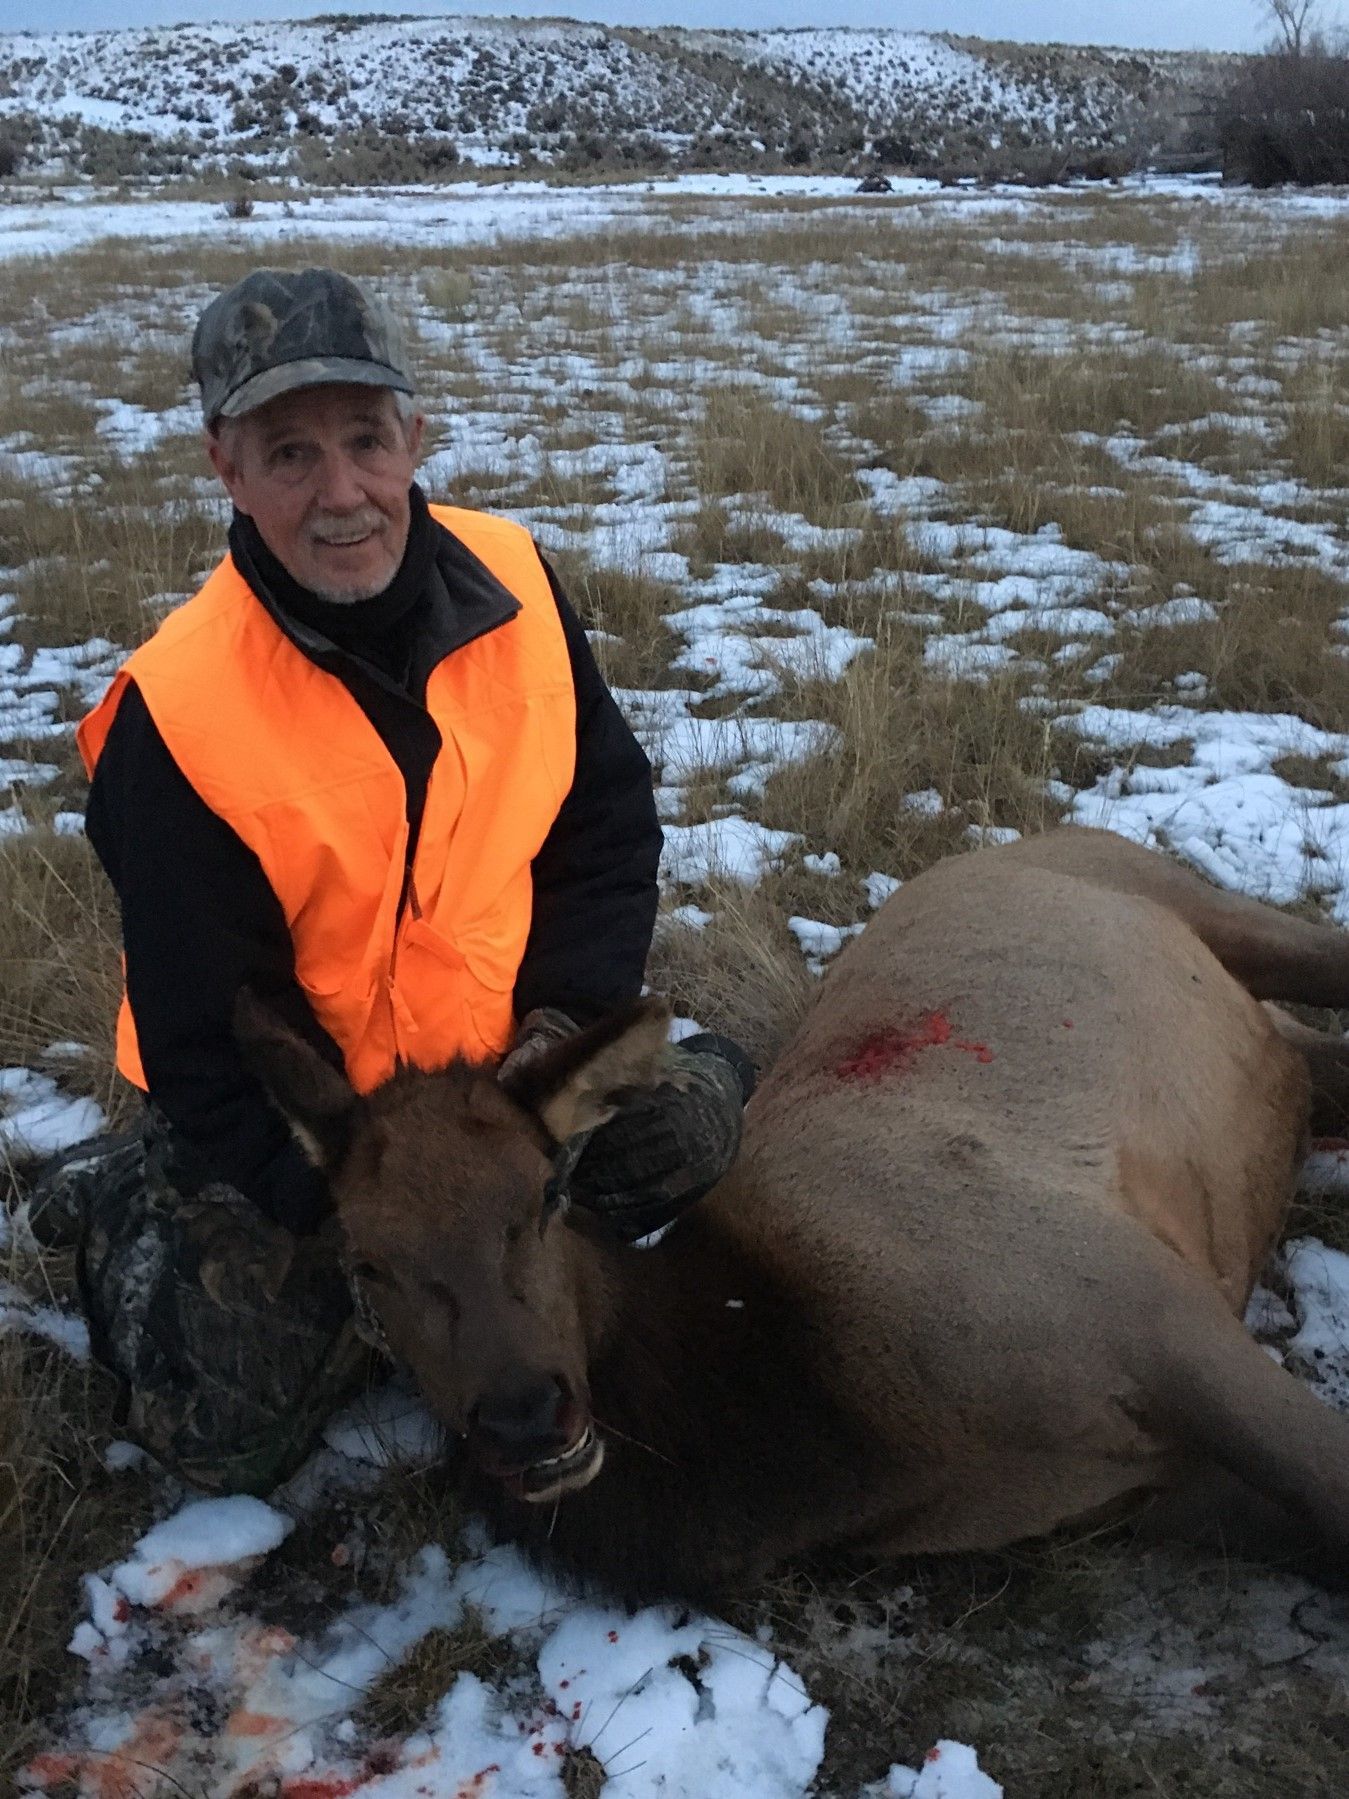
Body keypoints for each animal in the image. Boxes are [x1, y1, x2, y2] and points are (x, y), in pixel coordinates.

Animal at [240, 826, 1349, 1602]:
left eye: (545, 1193)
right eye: (365, 1261)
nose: (523, 1415)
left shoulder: (1140, 1300)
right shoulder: (1152, 1492)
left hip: (1200, 904)